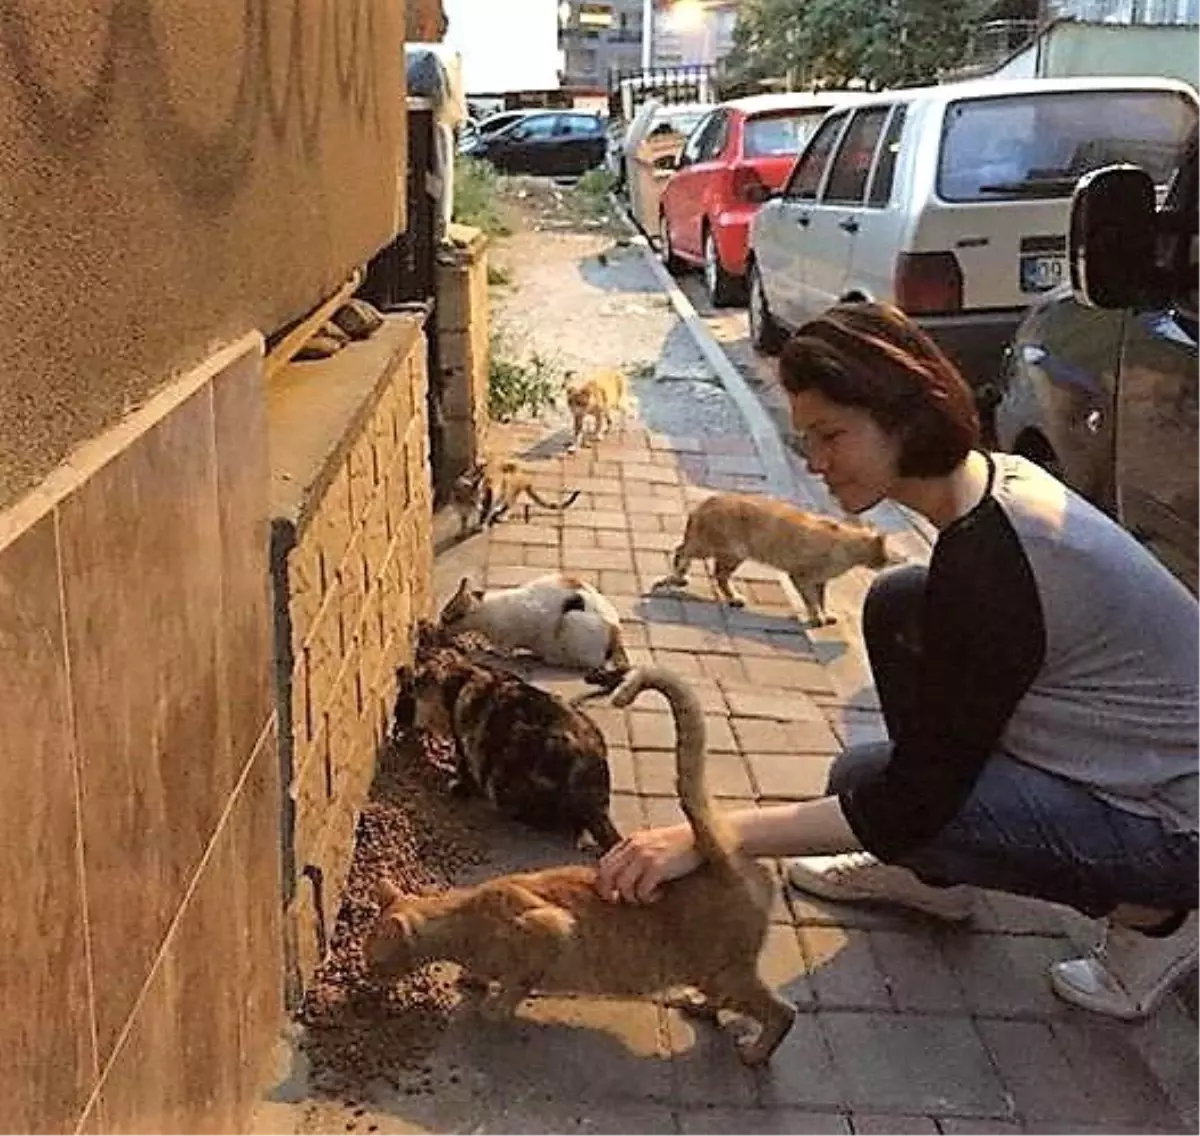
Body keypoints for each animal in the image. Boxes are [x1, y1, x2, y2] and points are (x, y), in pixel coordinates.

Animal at [364, 666, 796, 1065]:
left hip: (725, 973)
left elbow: (516, 986)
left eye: (373, 959)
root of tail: (721, 856)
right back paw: (699, 1006)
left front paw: (493, 1008)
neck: (463, 918)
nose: (365, 977)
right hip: (713, 973)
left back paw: (755, 1053)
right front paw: (474, 978)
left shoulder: (550, 930)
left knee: (782, 1012)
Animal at [393, 623, 619, 854]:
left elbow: (463, 767)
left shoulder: (463, 741)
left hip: (505, 775)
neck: (456, 674)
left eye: (401, 704)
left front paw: (458, 785)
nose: (396, 719)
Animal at [439, 573, 628, 681]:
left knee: (592, 664)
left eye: (446, 619)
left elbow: (501, 651)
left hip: (573, 621)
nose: (439, 629)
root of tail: (617, 634)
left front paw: (484, 649)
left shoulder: (510, 637)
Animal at [451, 458, 580, 537]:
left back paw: (502, 514)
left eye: (479, 497)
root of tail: (525, 476)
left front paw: (482, 525)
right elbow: (463, 520)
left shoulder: (489, 498)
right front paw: (462, 531)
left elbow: (485, 515)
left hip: (508, 487)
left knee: (509, 504)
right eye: (472, 500)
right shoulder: (462, 509)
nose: (479, 506)